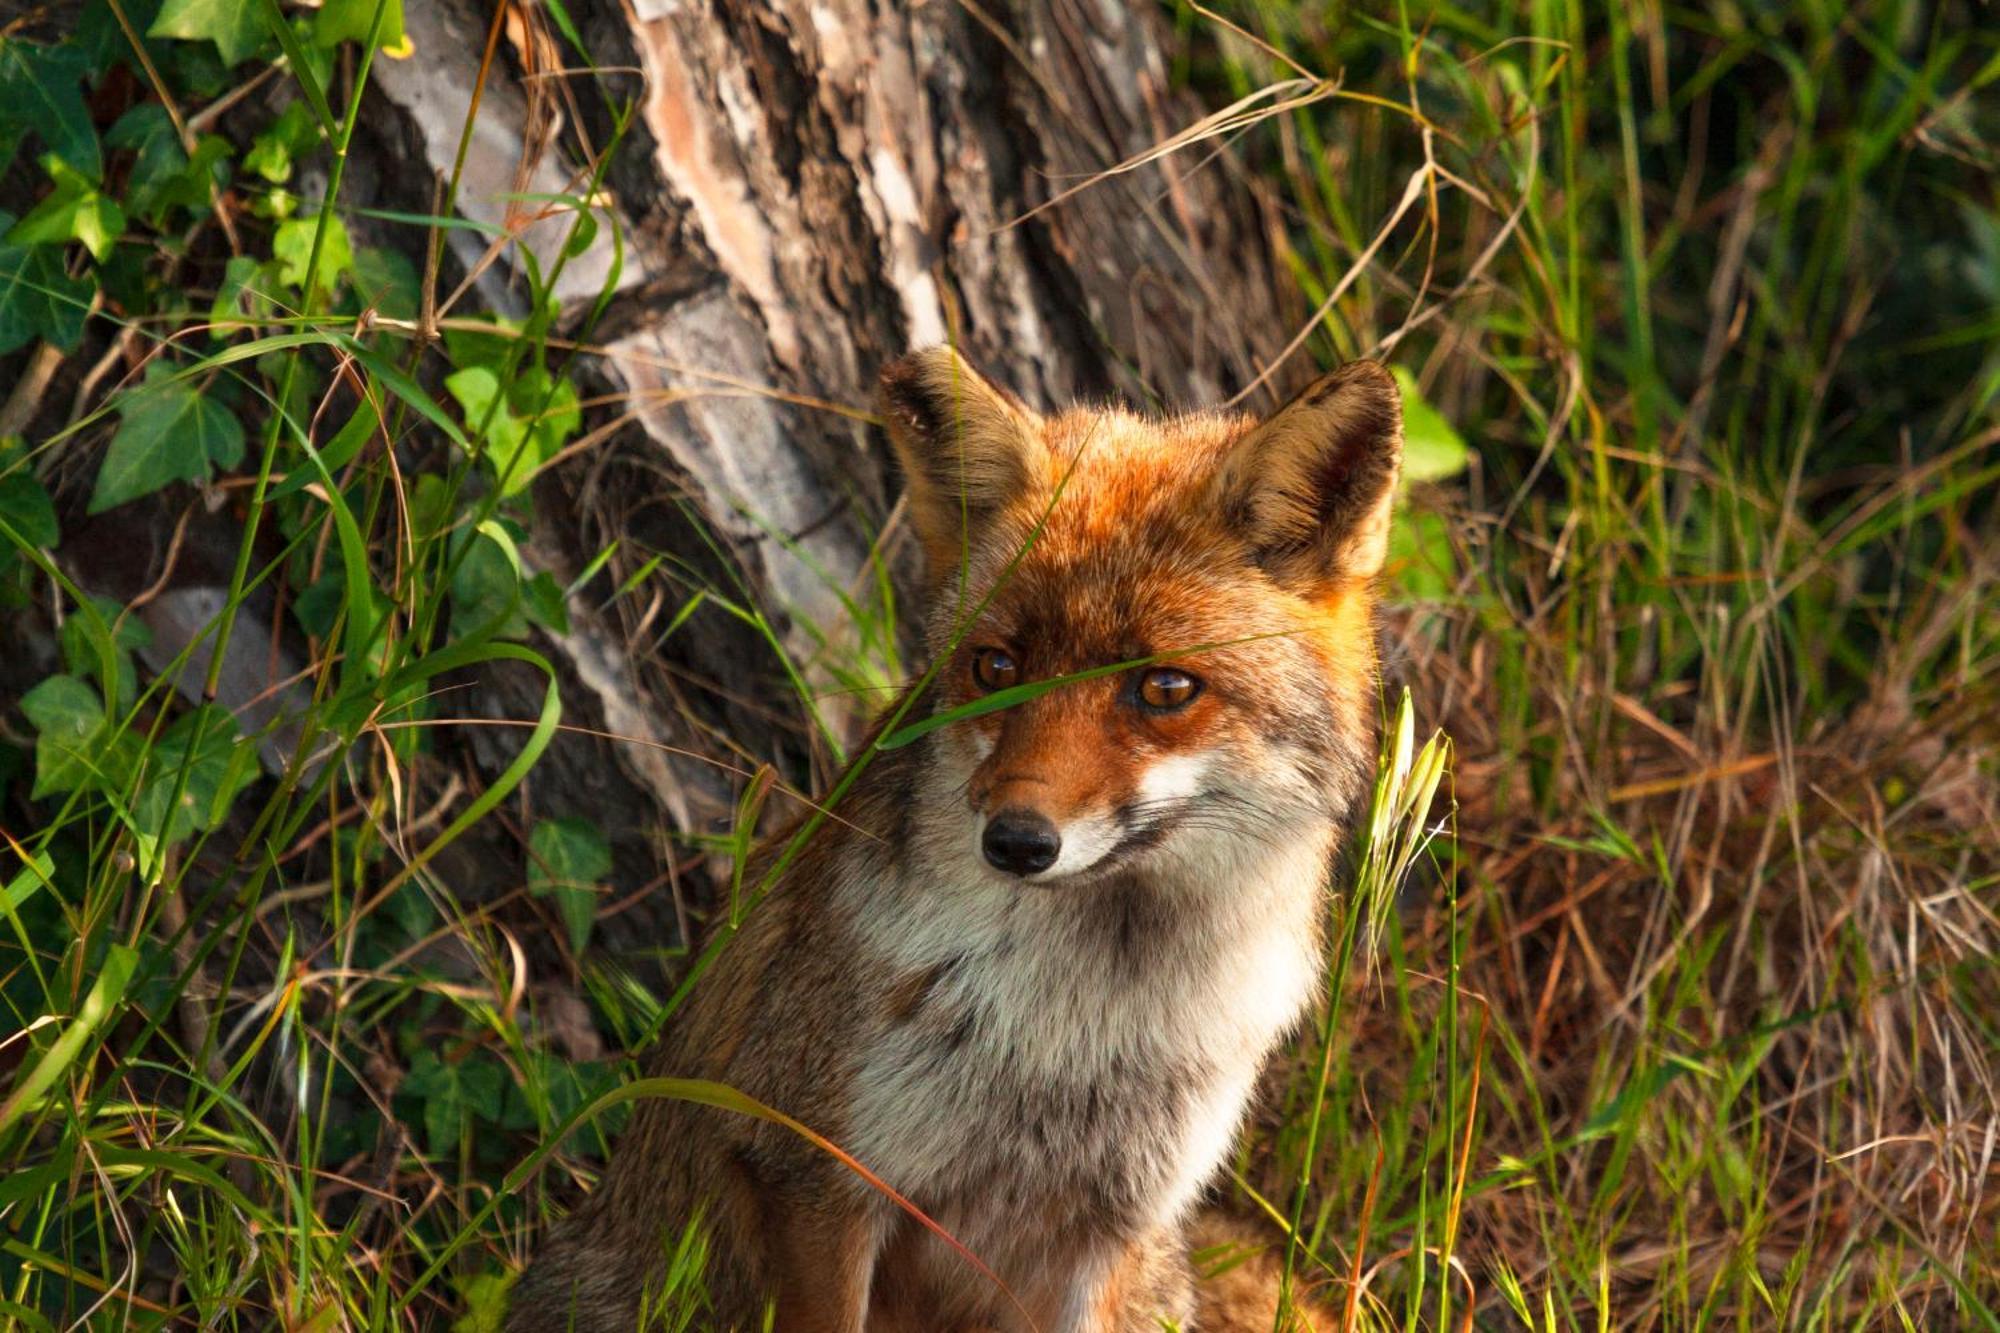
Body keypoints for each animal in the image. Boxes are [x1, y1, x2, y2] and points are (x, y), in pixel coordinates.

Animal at [508, 348, 1400, 1320]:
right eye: (996, 667)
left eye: (1165, 688)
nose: (1016, 840)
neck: (1082, 1031)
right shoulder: (820, 1179)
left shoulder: (1106, 1235)